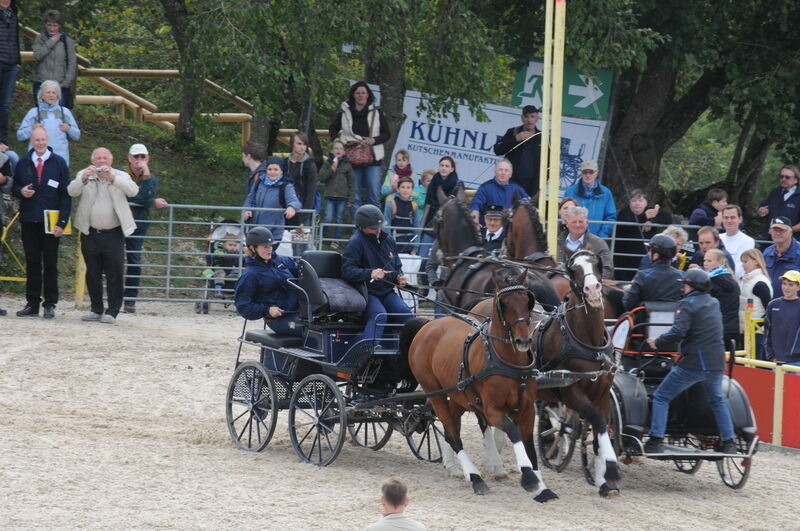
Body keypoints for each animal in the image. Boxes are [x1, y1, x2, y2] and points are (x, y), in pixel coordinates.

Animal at [404, 266, 560, 502]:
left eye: (527, 300)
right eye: (503, 304)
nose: (523, 341)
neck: (505, 360)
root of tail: (429, 325)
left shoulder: (526, 410)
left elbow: (529, 446)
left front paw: (542, 487)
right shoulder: (493, 410)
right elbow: (513, 432)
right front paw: (529, 478)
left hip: (459, 395)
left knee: (451, 427)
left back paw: (456, 468)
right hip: (435, 392)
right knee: (452, 433)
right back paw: (475, 477)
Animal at [472, 249, 620, 498]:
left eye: (597, 265)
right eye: (573, 270)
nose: (592, 289)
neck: (588, 343)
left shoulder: (602, 395)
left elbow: (599, 432)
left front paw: (603, 480)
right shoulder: (571, 394)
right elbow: (597, 421)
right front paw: (610, 470)